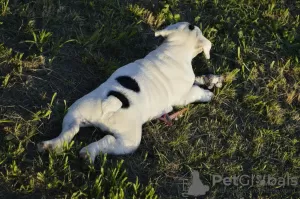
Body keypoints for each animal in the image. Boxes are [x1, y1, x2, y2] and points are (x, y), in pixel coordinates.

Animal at [38, 21, 223, 162]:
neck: (174, 50)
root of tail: (110, 104)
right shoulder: (183, 97)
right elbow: (195, 91)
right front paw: (207, 94)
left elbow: (197, 81)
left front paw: (209, 80)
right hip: (129, 141)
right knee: (107, 141)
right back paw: (88, 153)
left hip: (77, 110)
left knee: (72, 129)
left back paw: (51, 145)